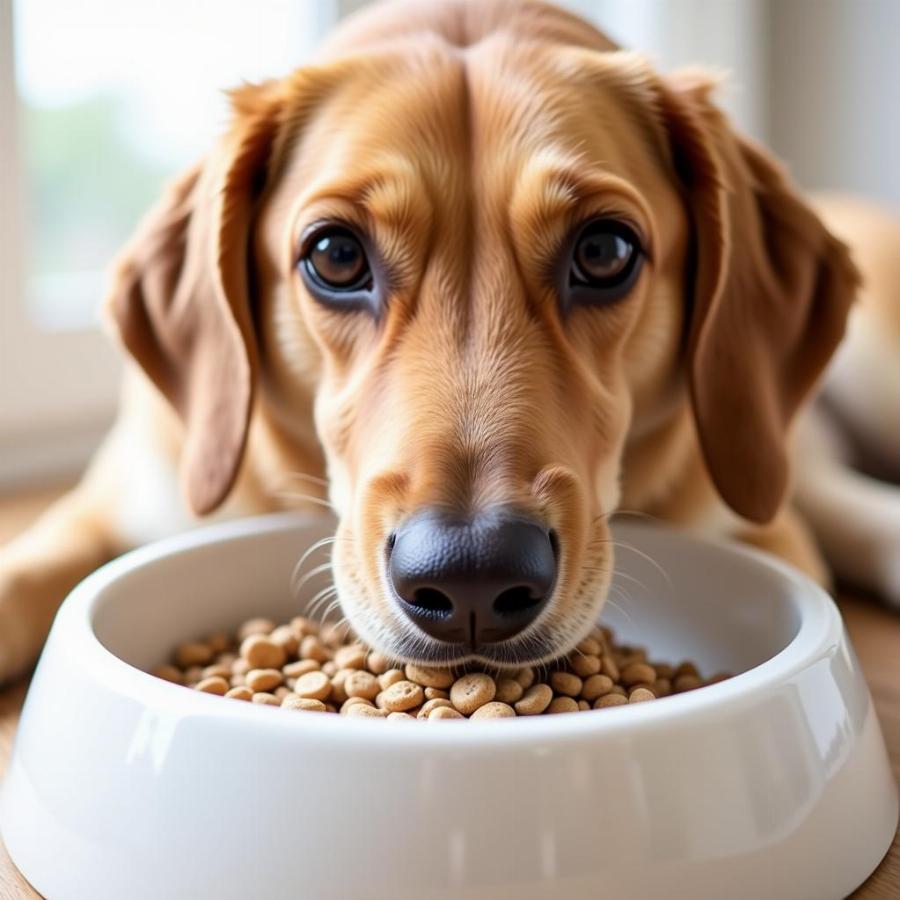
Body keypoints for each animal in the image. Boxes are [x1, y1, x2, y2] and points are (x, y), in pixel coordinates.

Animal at [1, 0, 900, 680]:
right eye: (335, 255)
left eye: (605, 251)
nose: (472, 577)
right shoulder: (112, 502)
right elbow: (28, 569)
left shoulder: (771, 533)